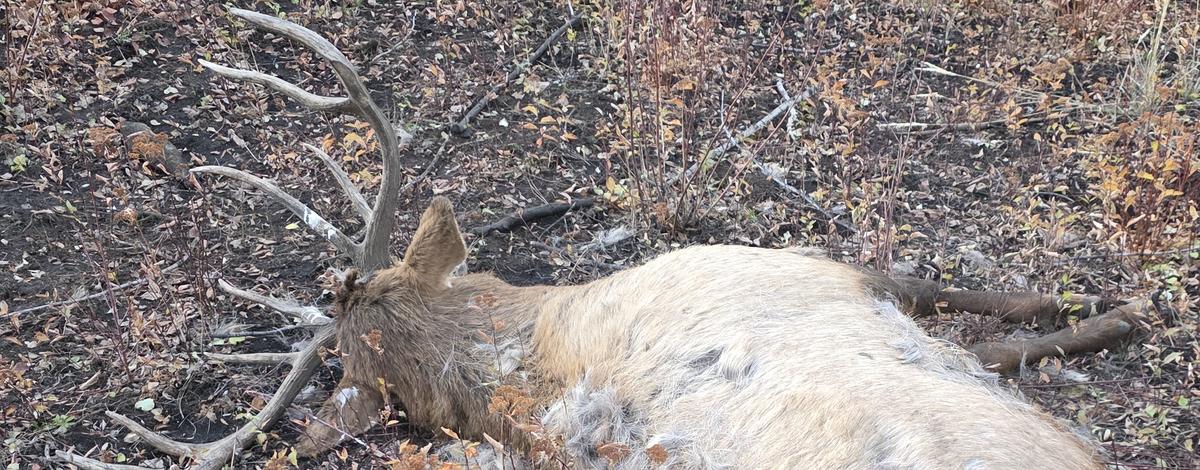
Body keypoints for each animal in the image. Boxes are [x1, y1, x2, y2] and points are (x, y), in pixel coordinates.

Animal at [55, 8, 1147, 470]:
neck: (517, 340)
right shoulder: (797, 266)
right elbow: (995, 321)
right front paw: (1115, 309)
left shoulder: (797, 266)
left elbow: (978, 301)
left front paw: (1101, 301)